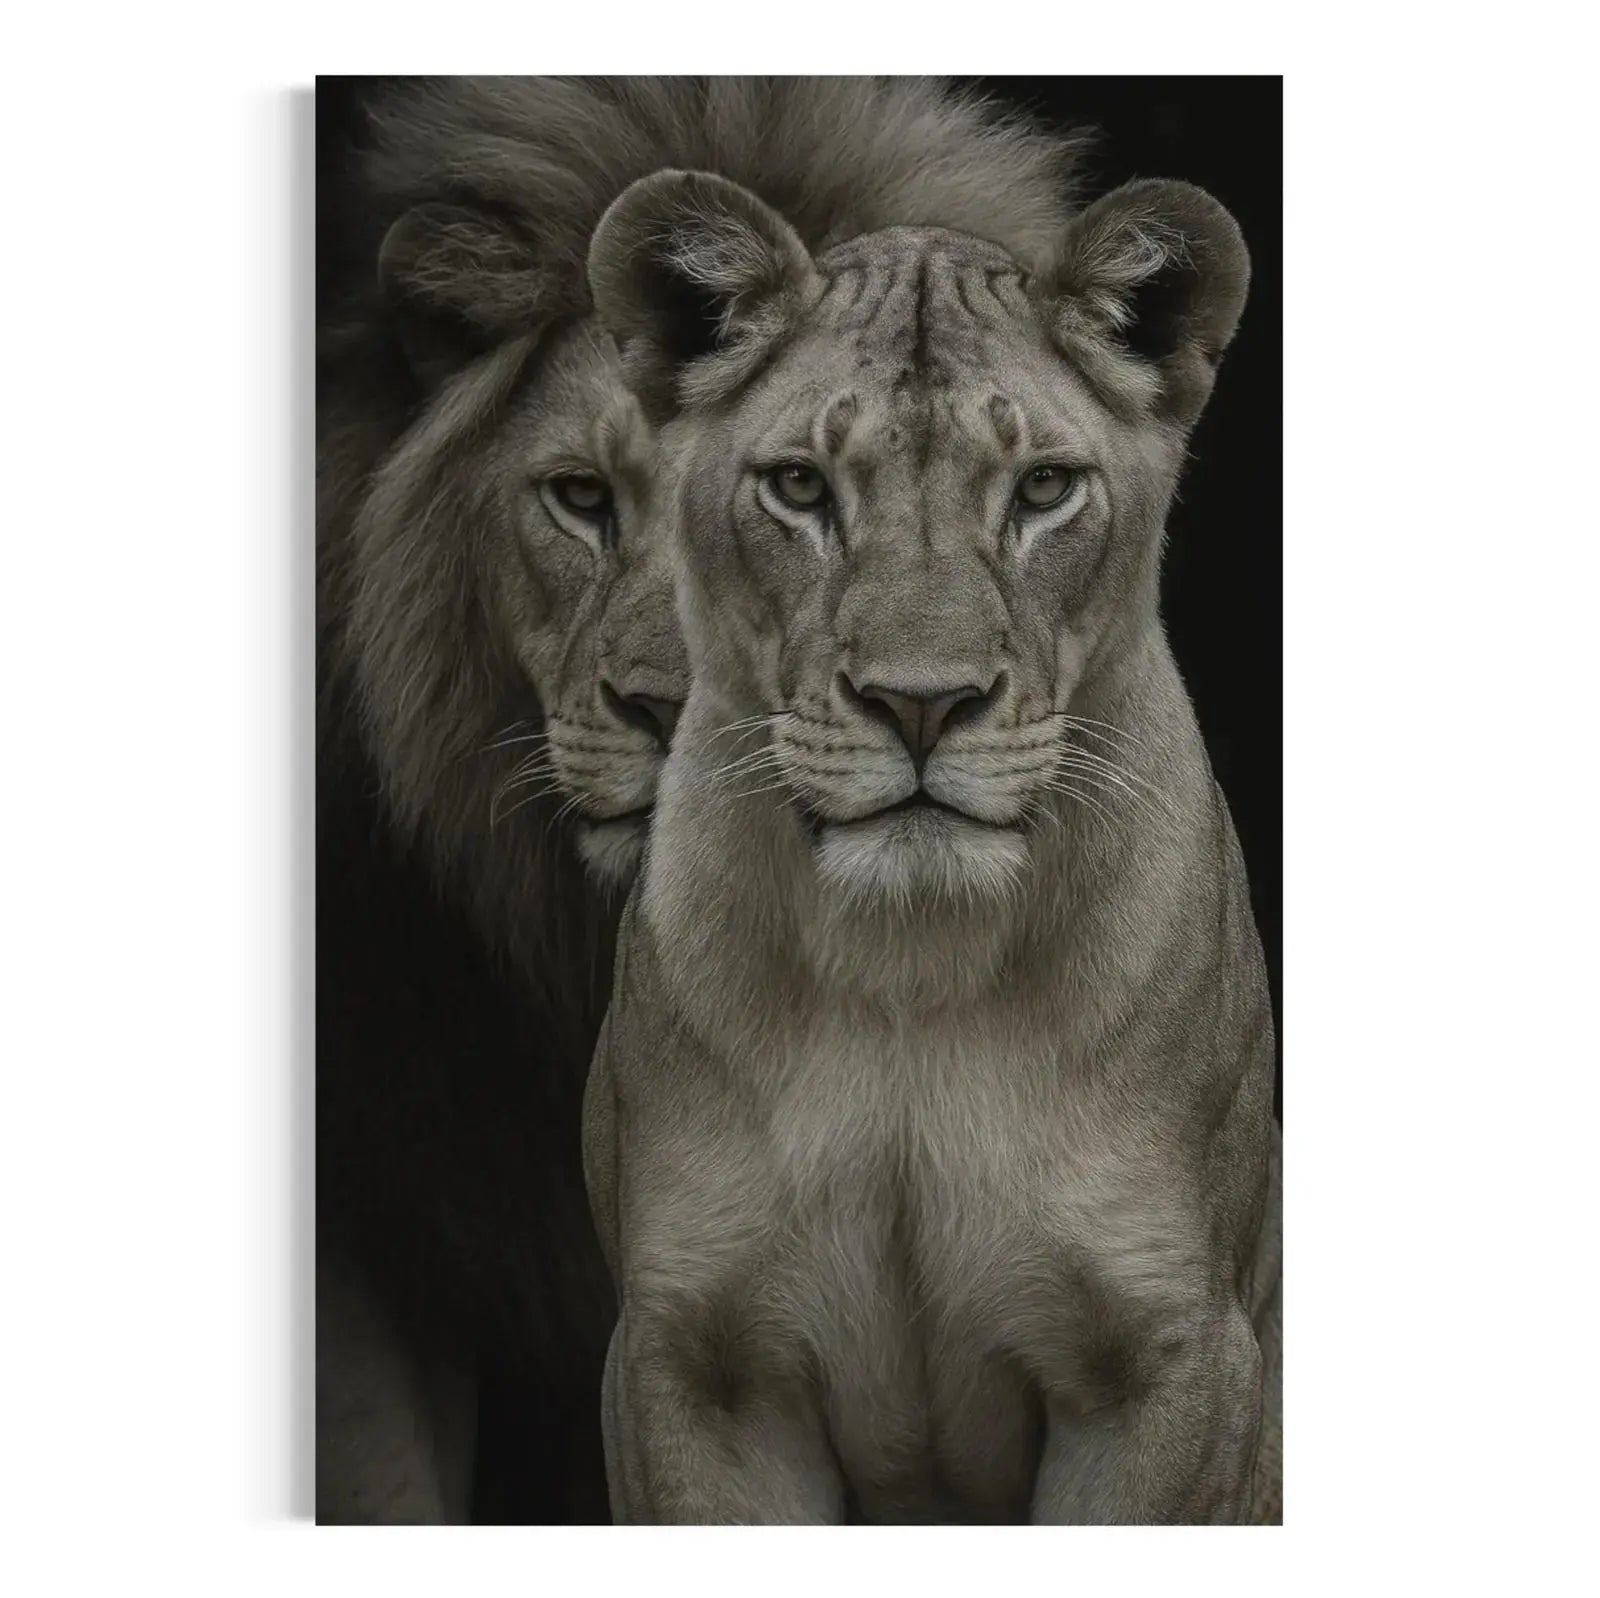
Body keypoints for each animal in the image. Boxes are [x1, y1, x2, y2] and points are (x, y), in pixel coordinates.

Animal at [581, 169, 1282, 1523]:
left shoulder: (1169, 1355)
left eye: (1043, 489)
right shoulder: (693, 1361)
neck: (911, 972)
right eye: (800, 488)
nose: (920, 702)